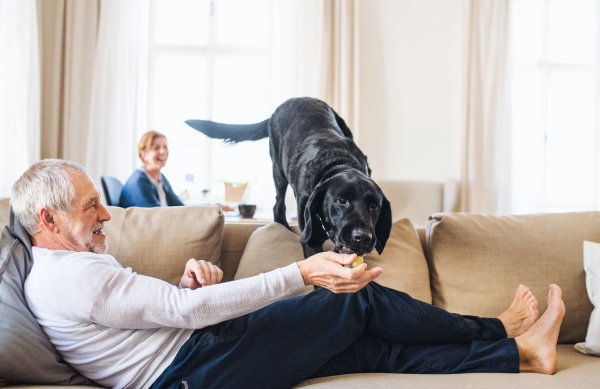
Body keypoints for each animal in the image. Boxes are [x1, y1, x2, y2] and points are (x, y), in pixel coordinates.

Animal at [188, 97, 394, 258]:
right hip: (278, 170)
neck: (337, 162)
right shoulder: (311, 240)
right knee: (278, 204)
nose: (363, 237)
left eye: (374, 205)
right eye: (342, 201)